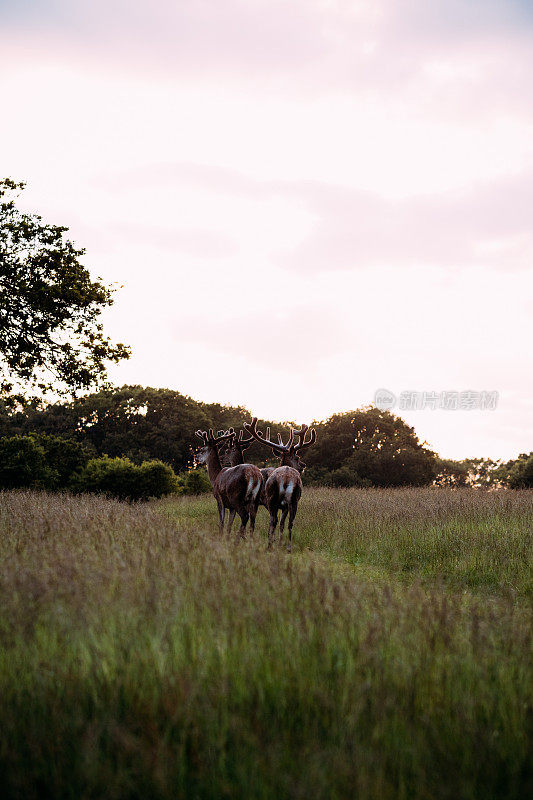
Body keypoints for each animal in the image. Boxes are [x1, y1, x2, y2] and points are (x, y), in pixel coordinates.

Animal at [242, 416, 316, 552]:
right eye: (297, 458)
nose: (303, 465)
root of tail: (286, 478)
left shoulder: (264, 502)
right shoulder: (283, 506)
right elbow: (282, 524)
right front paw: (280, 543)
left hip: (271, 499)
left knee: (273, 520)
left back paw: (269, 545)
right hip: (293, 500)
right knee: (289, 522)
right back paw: (287, 547)